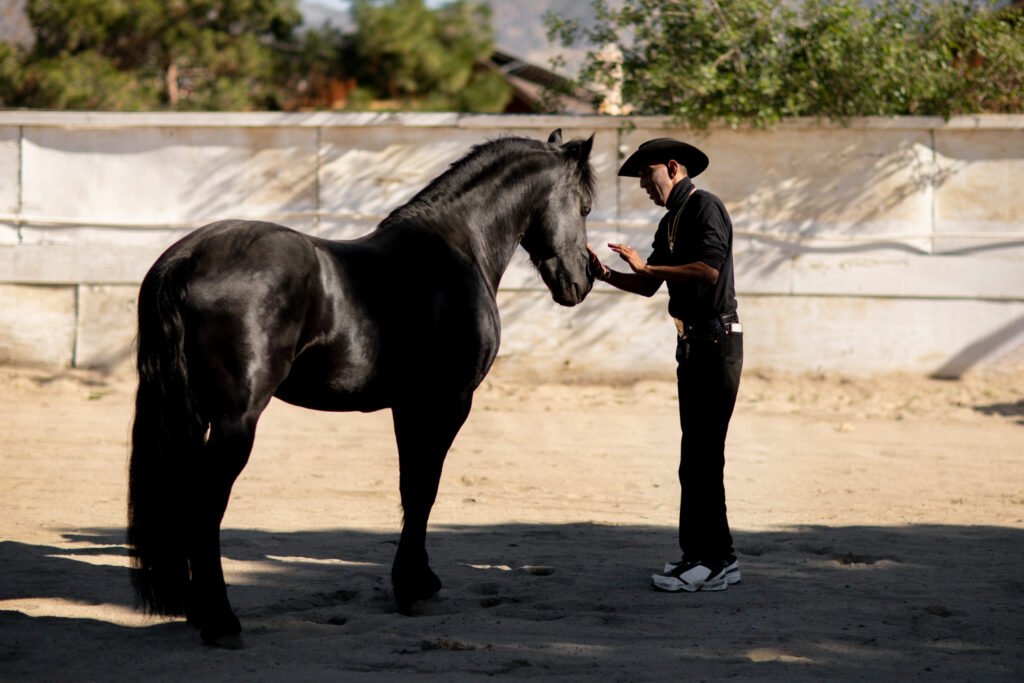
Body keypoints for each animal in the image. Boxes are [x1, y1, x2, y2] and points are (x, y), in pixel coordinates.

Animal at [127, 129, 596, 647]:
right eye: (585, 207)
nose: (582, 280)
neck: (455, 250)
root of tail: (187, 257)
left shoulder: (407, 406)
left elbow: (411, 485)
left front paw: (412, 582)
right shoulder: (448, 401)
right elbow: (424, 489)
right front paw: (415, 587)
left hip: (194, 414)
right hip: (236, 421)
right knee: (206, 506)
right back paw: (222, 622)